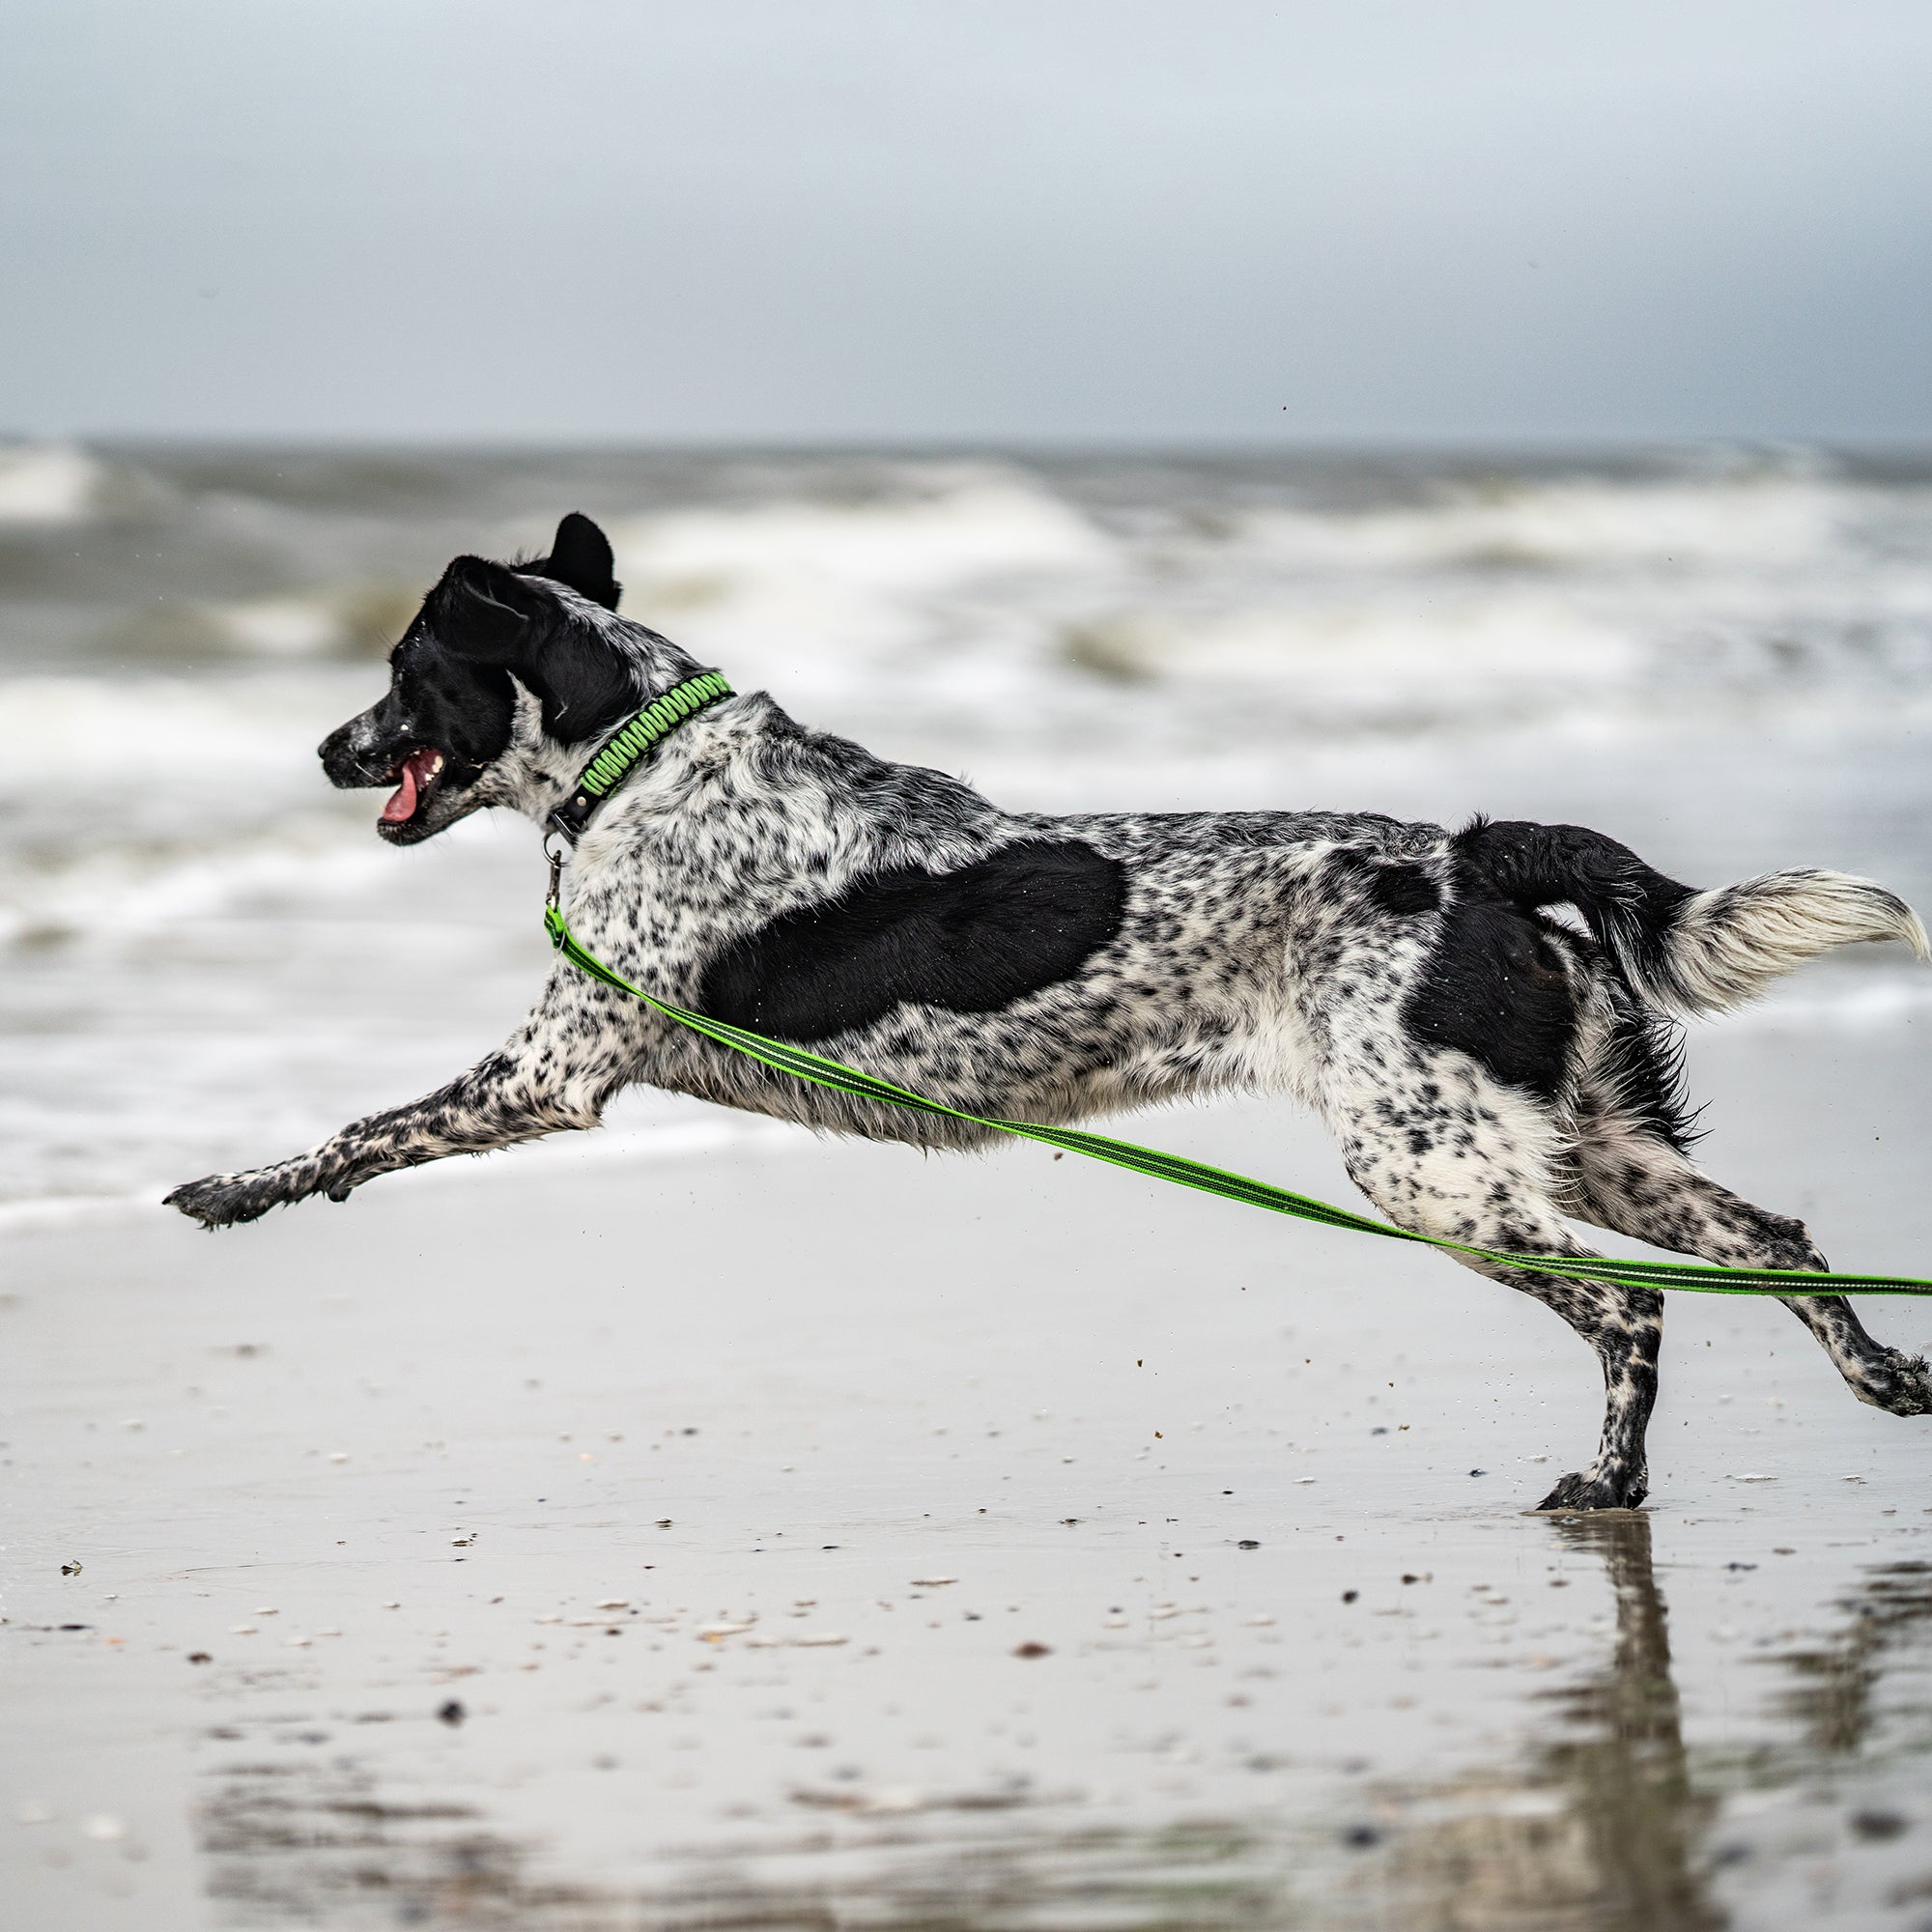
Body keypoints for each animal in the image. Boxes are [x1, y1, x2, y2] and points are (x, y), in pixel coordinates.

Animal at [166, 514, 1932, 1507]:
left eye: (407, 669)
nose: (324, 750)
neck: (640, 754)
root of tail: (1475, 854)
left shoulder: (544, 1074)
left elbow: (353, 1132)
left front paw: (237, 1188)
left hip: (1436, 1169)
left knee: (1634, 1313)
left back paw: (1614, 1485)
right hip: (1586, 1139)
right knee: (1776, 1242)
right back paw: (1885, 1382)